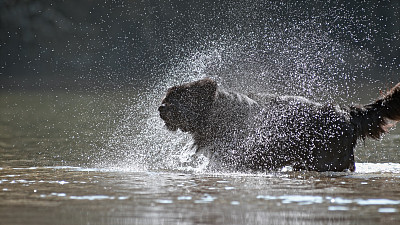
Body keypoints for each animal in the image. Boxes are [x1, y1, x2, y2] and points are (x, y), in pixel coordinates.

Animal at [159, 78, 400, 171]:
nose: (160, 108)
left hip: (327, 160)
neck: (217, 114)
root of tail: (347, 115)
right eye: (167, 96)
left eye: (177, 98)